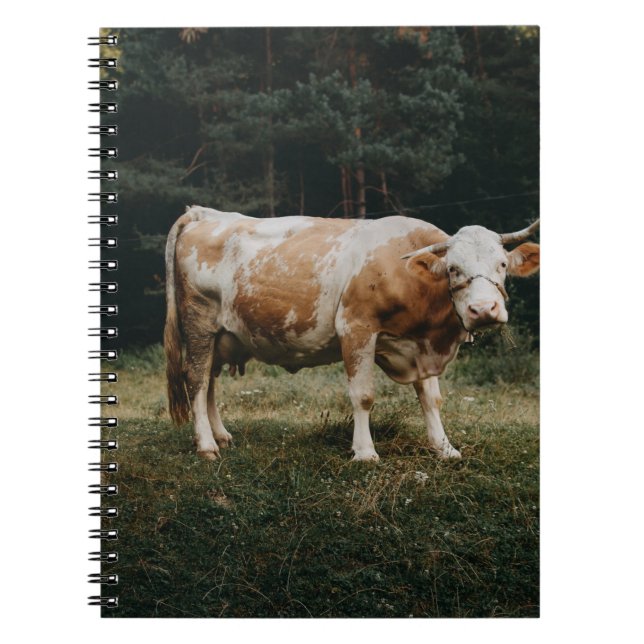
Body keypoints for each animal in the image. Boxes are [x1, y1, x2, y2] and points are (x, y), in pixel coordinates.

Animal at [164, 206, 540, 462]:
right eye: (453, 268)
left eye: (502, 265)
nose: (484, 310)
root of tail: (204, 213)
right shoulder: (356, 327)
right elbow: (363, 395)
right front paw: (365, 452)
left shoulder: (420, 343)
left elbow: (431, 398)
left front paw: (444, 447)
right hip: (199, 323)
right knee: (196, 379)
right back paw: (206, 445)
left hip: (220, 337)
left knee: (209, 382)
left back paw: (220, 435)